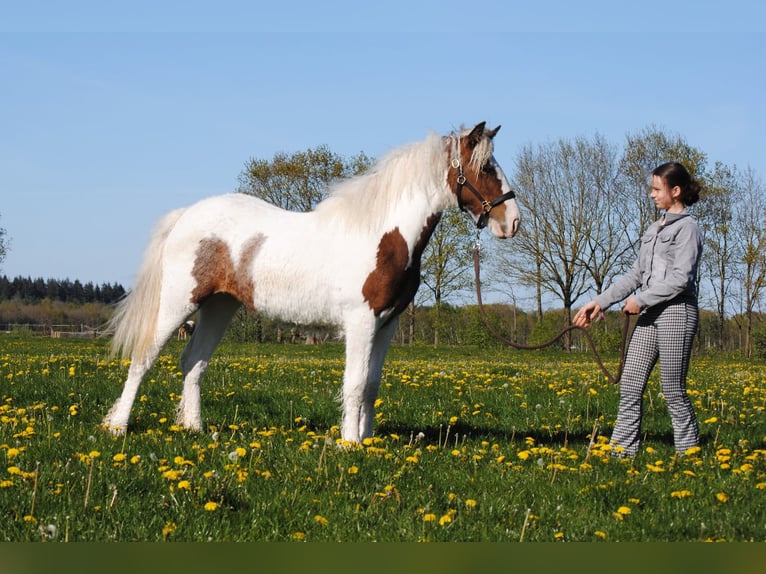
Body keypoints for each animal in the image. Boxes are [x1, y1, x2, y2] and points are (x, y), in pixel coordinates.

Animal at [102, 122, 520, 442]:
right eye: (486, 168)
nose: (512, 222)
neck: (382, 235)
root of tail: (187, 215)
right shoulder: (361, 321)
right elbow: (354, 383)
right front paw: (350, 443)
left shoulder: (388, 324)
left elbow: (372, 385)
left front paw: (368, 440)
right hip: (179, 302)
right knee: (144, 357)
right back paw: (118, 427)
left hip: (221, 306)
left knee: (194, 363)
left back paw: (195, 429)